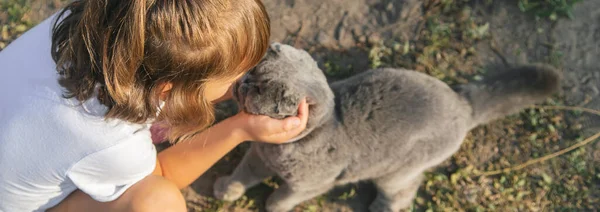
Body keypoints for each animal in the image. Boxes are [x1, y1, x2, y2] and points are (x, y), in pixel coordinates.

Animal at [213, 42, 560, 211]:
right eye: (252, 73)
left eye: (260, 89)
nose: (243, 82)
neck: (279, 151)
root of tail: (462, 102)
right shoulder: (257, 155)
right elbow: (243, 174)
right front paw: (227, 188)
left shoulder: (308, 186)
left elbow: (284, 197)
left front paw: (272, 206)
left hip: (395, 172)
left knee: (405, 191)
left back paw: (381, 207)